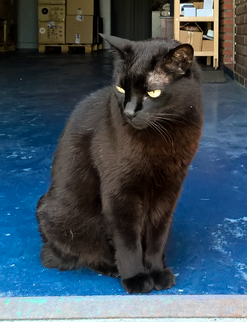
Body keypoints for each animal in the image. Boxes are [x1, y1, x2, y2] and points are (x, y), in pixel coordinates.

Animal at [35, 34, 204, 294]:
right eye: (121, 88)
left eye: (153, 93)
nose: (129, 112)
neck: (166, 134)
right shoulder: (119, 193)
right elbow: (127, 241)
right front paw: (136, 277)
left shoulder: (169, 191)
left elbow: (157, 236)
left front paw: (156, 270)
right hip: (57, 217)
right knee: (81, 254)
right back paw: (111, 267)